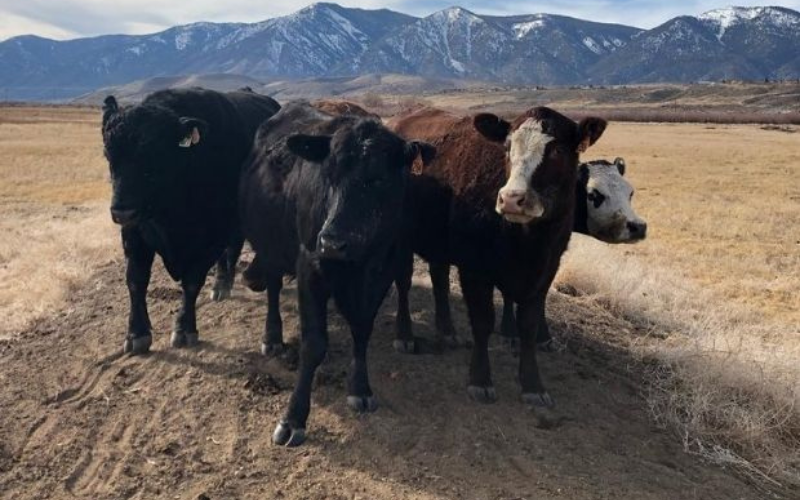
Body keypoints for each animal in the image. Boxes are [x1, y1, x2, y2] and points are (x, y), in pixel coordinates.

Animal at [102, 90, 282, 356]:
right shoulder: (134, 234)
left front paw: (184, 328)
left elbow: (192, 282)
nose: (122, 210)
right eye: (108, 154)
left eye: (155, 153)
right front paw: (137, 334)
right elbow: (136, 280)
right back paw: (221, 285)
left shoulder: (209, 239)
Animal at [239, 101, 434, 446]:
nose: (331, 242)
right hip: (271, 245)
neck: (361, 261)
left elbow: (362, 329)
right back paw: (272, 337)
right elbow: (314, 343)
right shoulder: (310, 267)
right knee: (273, 288)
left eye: (378, 179)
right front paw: (293, 419)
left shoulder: (381, 274)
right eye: (328, 175)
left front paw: (360, 388)